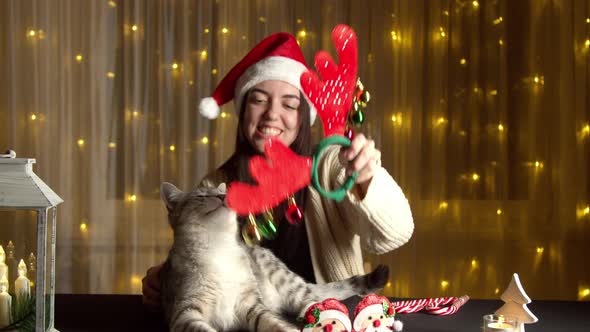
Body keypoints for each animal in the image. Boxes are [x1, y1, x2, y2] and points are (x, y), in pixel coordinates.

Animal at [160, 183, 390, 330]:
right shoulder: (185, 312)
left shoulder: (251, 304)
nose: (223, 197)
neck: (219, 245)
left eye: (221, 192)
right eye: (201, 196)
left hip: (283, 278)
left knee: (313, 299)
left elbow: (273, 323)